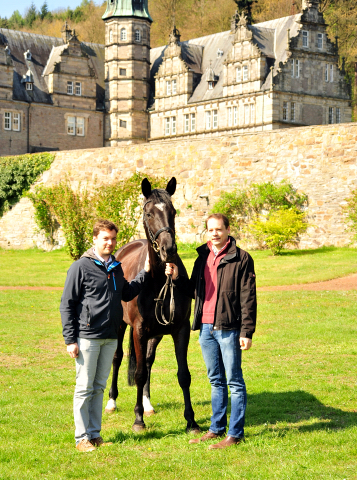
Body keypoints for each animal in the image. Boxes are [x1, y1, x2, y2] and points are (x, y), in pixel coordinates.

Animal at [105, 178, 200, 434]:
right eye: (148, 213)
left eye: (173, 211)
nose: (169, 249)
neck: (157, 280)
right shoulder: (138, 330)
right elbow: (137, 374)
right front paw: (138, 420)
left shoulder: (180, 330)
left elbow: (183, 375)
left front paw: (191, 421)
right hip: (121, 326)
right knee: (117, 357)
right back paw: (112, 401)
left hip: (155, 334)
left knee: (147, 361)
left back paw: (147, 404)